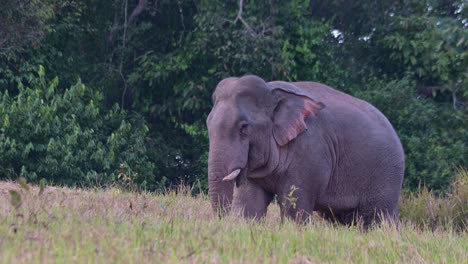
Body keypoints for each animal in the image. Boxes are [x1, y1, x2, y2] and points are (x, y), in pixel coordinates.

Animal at [207, 75, 404, 227]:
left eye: (244, 128)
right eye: (208, 124)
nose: (219, 220)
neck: (272, 90)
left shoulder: (309, 152)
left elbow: (295, 208)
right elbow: (248, 204)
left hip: (385, 177)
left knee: (377, 217)